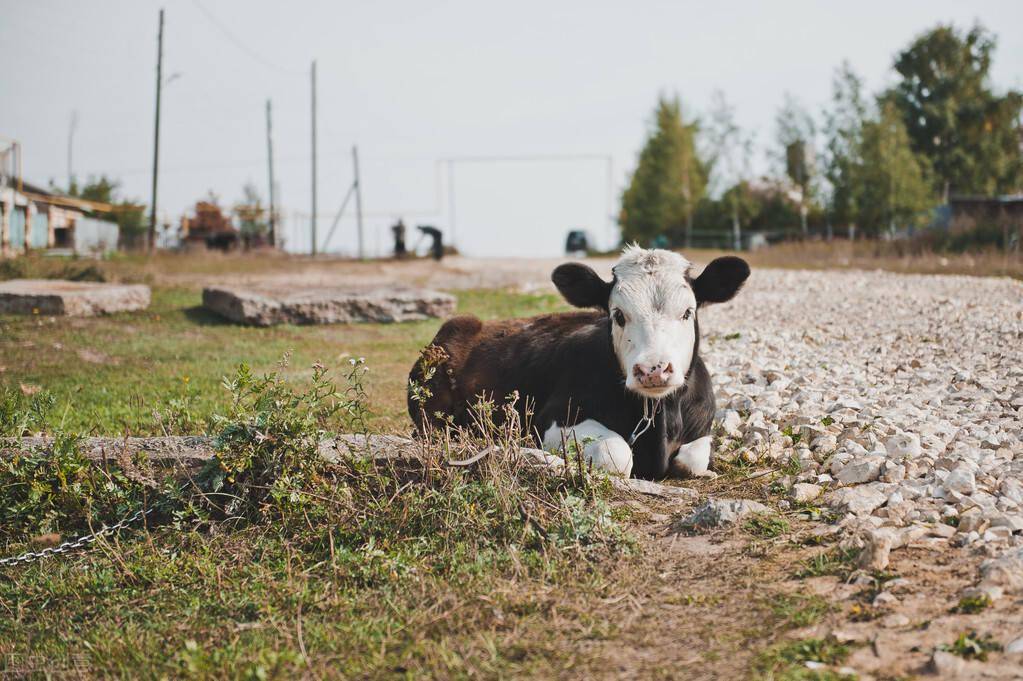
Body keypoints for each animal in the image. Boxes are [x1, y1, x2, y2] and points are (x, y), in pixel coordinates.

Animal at [407, 245, 752, 476]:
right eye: (618, 314)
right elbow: (617, 453)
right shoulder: (552, 417)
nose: (653, 370)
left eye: (687, 312)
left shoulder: (702, 424)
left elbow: (691, 460)